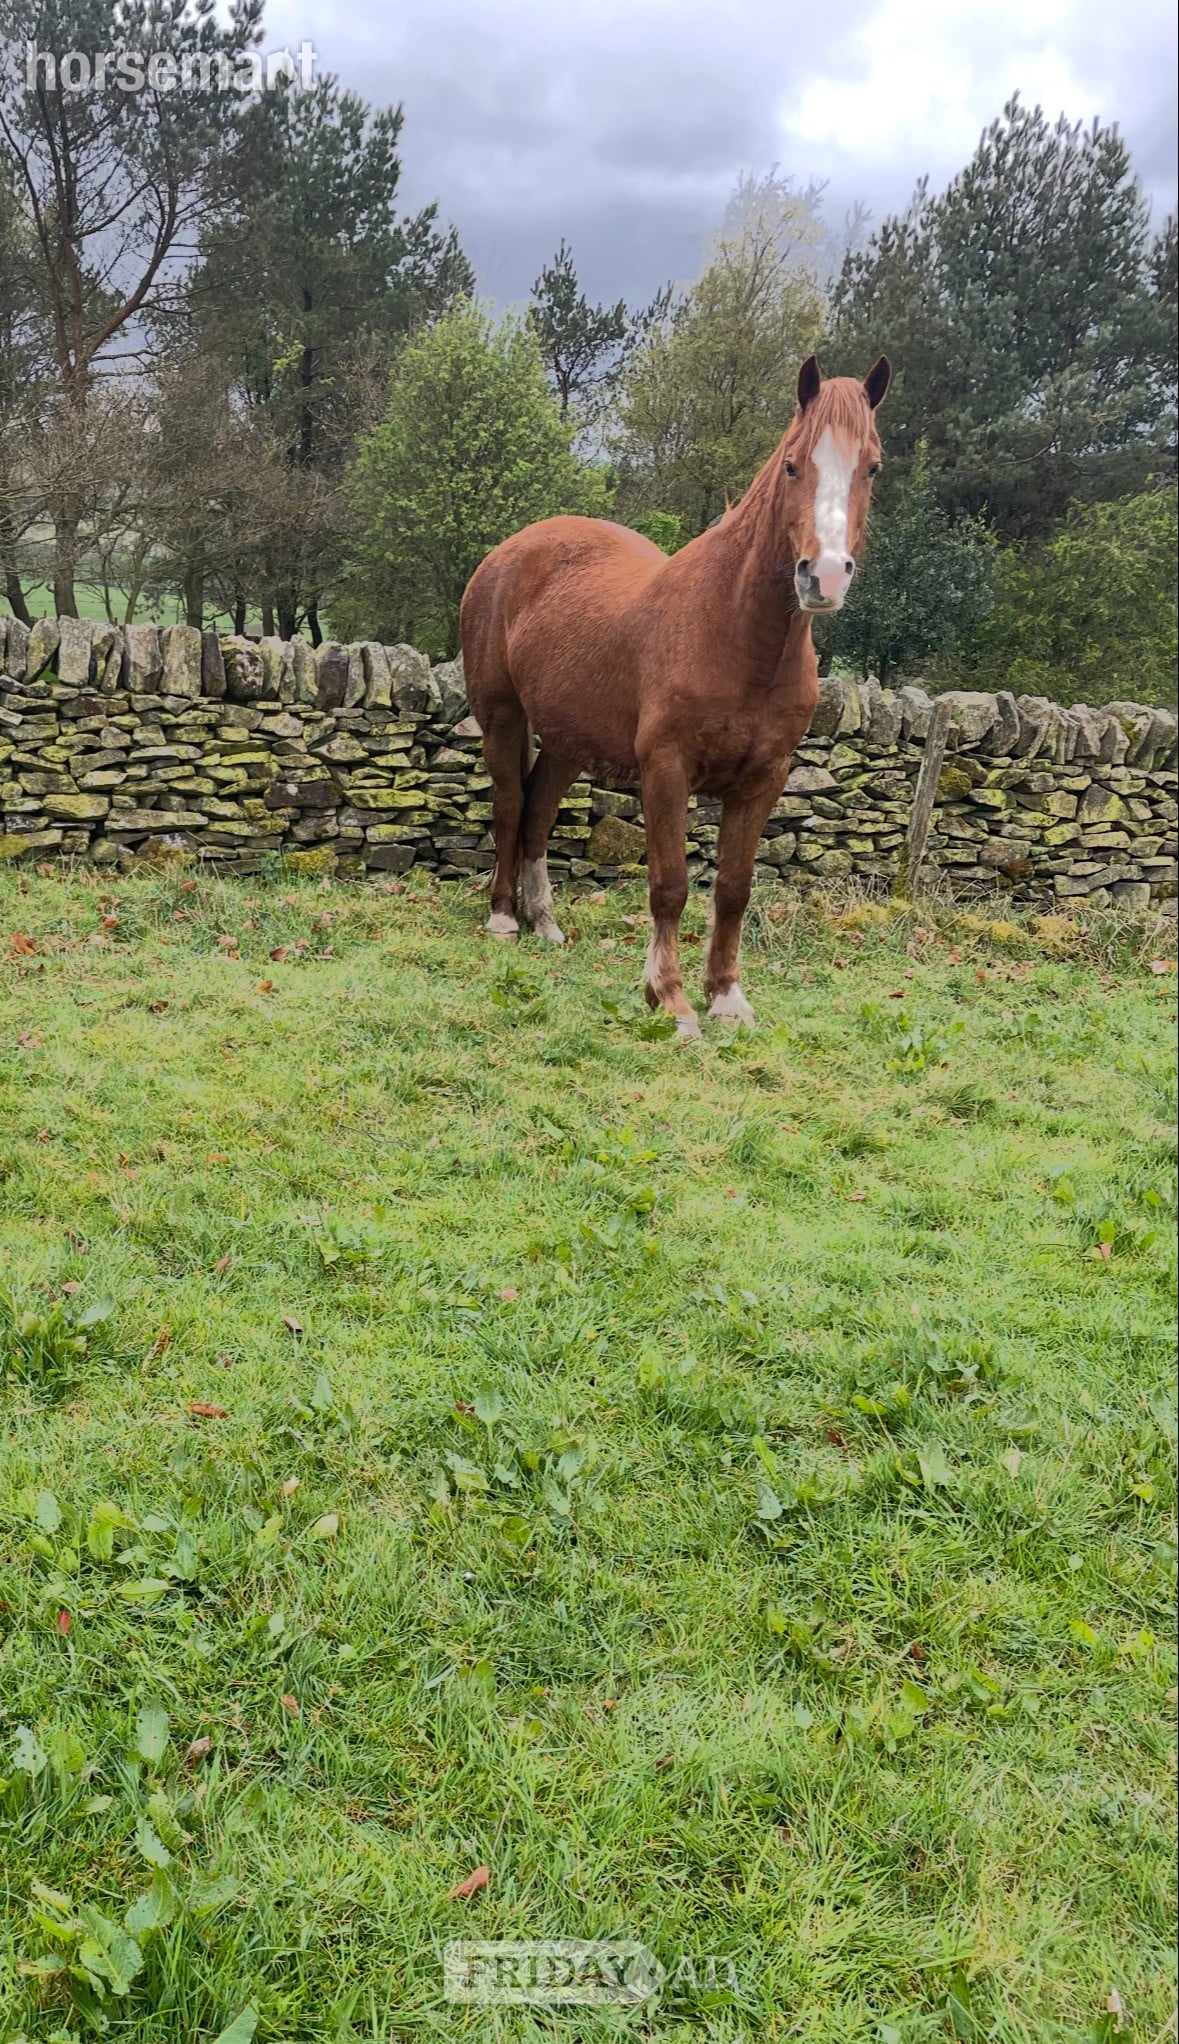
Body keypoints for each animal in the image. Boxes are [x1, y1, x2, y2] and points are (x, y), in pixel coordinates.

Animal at [460, 353, 890, 1035]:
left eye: (871, 466)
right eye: (793, 463)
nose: (822, 576)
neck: (737, 635)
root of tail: (509, 552)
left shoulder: (764, 779)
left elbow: (734, 888)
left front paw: (727, 997)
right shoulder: (666, 770)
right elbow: (670, 885)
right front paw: (670, 999)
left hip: (567, 740)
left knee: (537, 812)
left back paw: (545, 923)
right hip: (502, 717)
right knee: (508, 804)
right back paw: (504, 917)